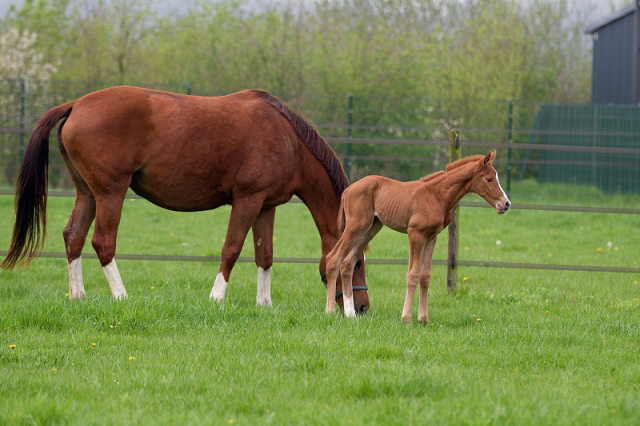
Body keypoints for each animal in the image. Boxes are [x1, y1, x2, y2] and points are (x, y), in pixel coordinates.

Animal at [324, 151, 510, 322]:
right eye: (489, 179)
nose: (506, 204)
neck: (437, 196)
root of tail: (348, 189)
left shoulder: (431, 237)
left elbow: (425, 276)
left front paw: (423, 319)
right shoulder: (415, 234)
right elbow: (413, 274)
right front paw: (406, 318)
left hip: (370, 229)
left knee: (347, 262)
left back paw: (350, 314)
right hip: (356, 227)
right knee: (333, 258)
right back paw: (330, 311)